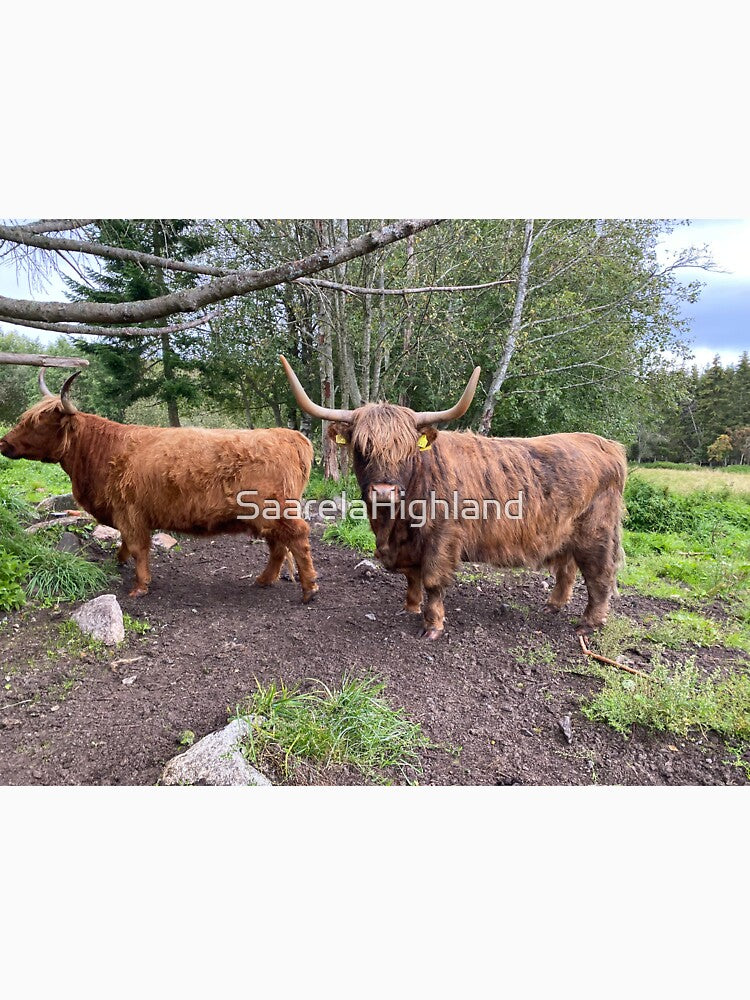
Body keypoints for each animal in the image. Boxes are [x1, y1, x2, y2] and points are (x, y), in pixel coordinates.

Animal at [0, 370, 319, 602]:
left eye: (38, 424)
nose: (4, 443)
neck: (101, 452)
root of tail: (288, 435)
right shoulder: (126, 514)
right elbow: (126, 544)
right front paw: (119, 562)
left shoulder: (130, 513)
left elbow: (139, 547)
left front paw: (140, 586)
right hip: (266, 517)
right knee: (278, 545)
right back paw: (264, 581)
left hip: (274, 510)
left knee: (297, 538)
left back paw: (309, 589)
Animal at [280, 355, 626, 640]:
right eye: (362, 448)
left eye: (407, 451)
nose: (384, 491)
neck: (395, 522)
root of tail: (605, 444)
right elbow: (412, 576)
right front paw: (410, 607)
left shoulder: (441, 537)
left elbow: (433, 580)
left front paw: (432, 626)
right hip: (566, 533)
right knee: (567, 569)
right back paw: (552, 606)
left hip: (596, 533)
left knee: (599, 576)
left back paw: (588, 624)